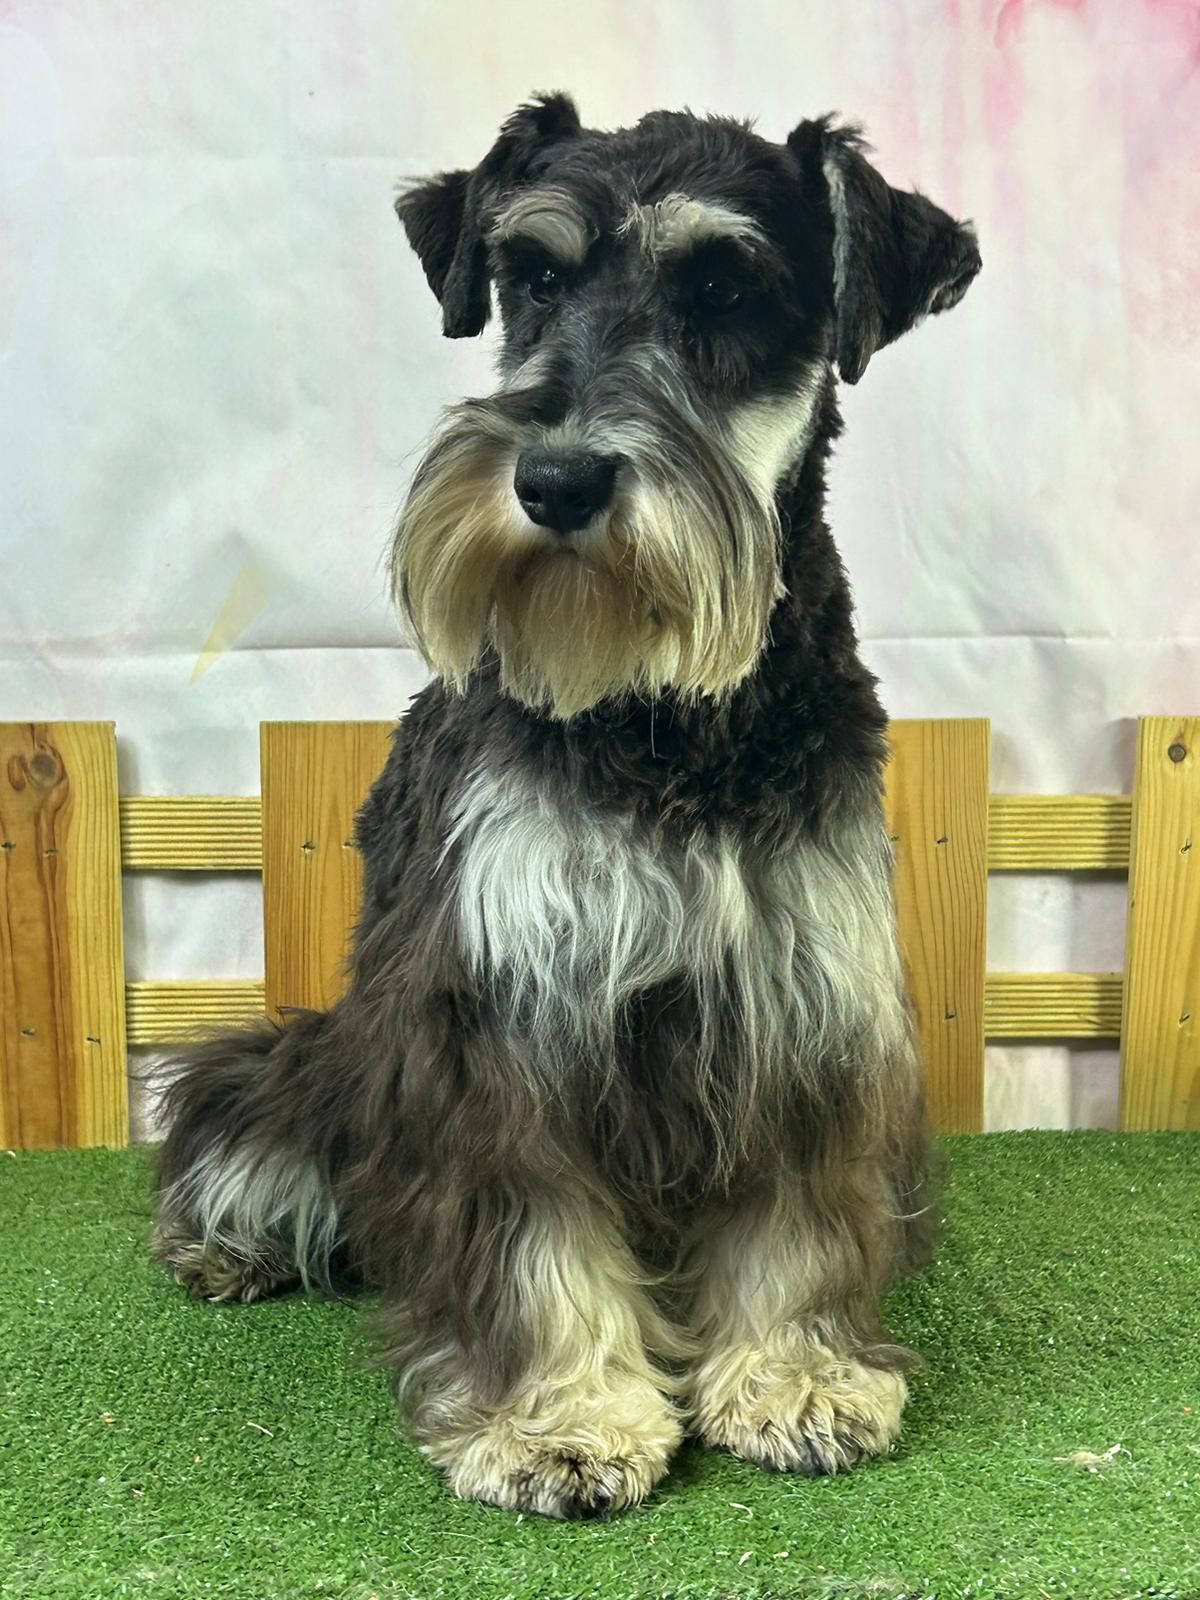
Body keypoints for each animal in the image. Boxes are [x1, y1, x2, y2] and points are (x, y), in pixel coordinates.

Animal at [152, 94, 980, 1520]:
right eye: (531, 277)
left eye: (724, 290)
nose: (553, 479)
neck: (665, 717)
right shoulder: (500, 1016)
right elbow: (534, 1236)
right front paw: (563, 1422)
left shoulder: (801, 1003)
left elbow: (795, 1220)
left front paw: (796, 1376)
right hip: (313, 1071)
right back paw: (223, 1247)